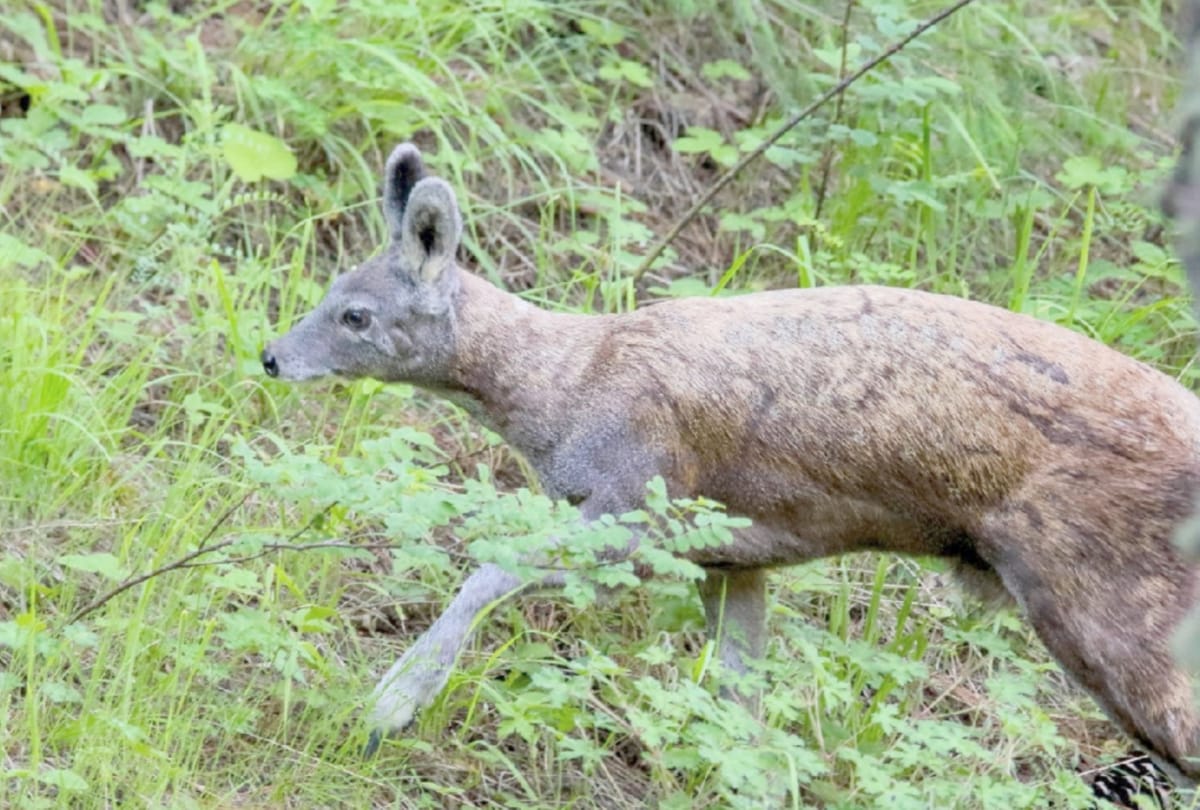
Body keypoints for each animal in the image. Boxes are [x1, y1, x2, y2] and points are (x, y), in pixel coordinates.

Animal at [261, 143, 1200, 789]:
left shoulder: (639, 504)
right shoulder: (731, 559)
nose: (271, 356)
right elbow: (741, 710)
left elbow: (490, 569)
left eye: (355, 314)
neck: (566, 392)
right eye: (330, 290)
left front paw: (389, 705)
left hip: (1111, 613)